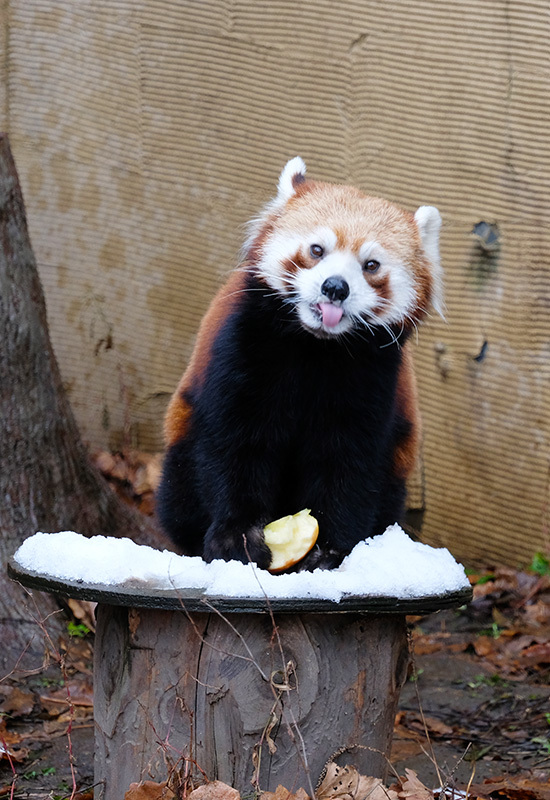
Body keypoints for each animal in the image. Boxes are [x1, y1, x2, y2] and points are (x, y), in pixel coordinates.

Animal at [156, 158, 444, 568]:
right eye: (317, 249)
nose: (335, 287)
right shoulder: (242, 352)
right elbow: (235, 446)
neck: (316, 347)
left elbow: (348, 466)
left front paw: (328, 549)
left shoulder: (371, 381)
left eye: (371, 265)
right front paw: (237, 536)